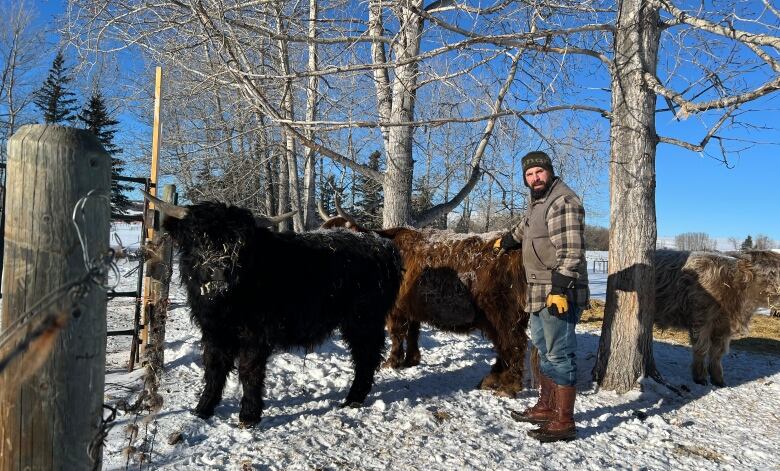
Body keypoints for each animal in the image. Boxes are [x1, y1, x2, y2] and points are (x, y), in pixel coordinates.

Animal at [143, 193, 402, 428]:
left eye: (240, 243)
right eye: (198, 237)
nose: (218, 271)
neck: (225, 301)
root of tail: (382, 244)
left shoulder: (256, 334)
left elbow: (249, 371)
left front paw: (248, 416)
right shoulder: (214, 331)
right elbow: (214, 367)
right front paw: (203, 408)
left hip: (363, 319)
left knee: (366, 355)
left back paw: (353, 399)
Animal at [318, 214, 532, 398]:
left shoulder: (396, 308)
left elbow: (396, 335)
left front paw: (393, 361)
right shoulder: (411, 308)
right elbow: (413, 333)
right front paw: (411, 360)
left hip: (503, 315)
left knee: (514, 345)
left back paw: (508, 387)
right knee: (506, 347)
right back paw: (491, 380)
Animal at [652, 251, 780, 388]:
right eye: (771, 272)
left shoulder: (723, 328)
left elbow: (717, 353)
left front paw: (718, 379)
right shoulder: (702, 322)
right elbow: (702, 348)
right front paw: (700, 378)